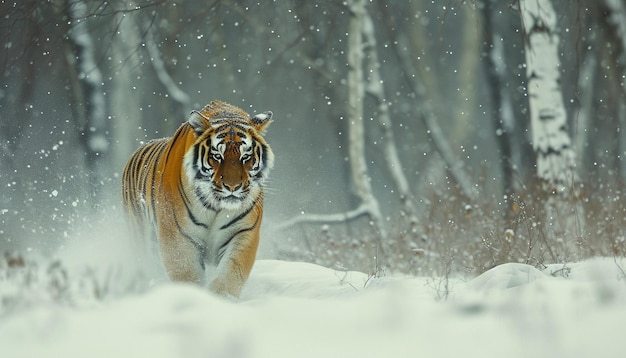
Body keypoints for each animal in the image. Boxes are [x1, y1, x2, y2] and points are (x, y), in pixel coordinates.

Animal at [122, 100, 272, 296]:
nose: (232, 187)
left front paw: (221, 296)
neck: (216, 207)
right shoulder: (178, 236)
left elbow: (232, 272)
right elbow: (186, 275)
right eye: (217, 156)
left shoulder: (242, 232)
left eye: (245, 156)